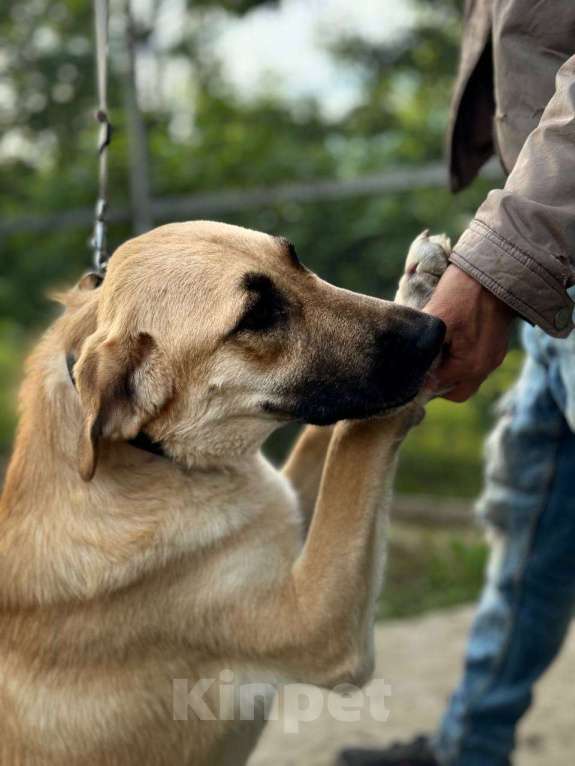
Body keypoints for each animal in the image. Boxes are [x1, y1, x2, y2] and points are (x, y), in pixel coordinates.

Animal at [0, 224, 450, 766]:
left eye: (294, 258)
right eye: (256, 317)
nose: (432, 333)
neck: (161, 458)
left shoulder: (283, 503)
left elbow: (323, 442)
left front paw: (419, 279)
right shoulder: (319, 623)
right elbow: (356, 442)